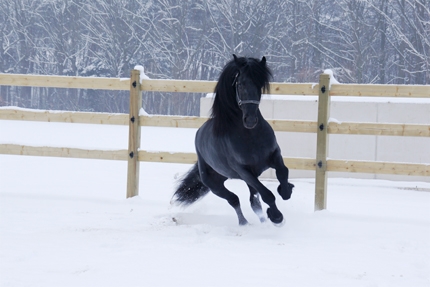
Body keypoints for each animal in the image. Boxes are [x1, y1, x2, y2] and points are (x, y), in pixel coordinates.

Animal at [173, 54, 294, 227]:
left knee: (253, 202)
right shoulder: (243, 170)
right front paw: (277, 217)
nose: (250, 120)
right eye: (241, 83)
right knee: (234, 199)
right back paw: (244, 223)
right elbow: (267, 194)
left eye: (260, 84)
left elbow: (283, 173)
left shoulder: (274, 156)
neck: (251, 136)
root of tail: (199, 134)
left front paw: (286, 190)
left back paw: (262, 220)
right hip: (214, 184)